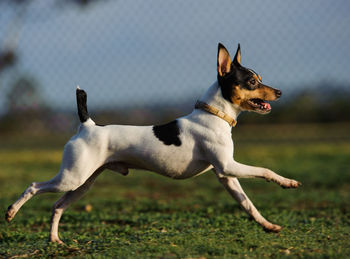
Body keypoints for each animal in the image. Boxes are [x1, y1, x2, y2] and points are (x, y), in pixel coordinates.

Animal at [5, 43, 300, 245]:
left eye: (259, 78)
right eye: (251, 81)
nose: (280, 92)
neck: (214, 115)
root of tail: (87, 125)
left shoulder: (225, 175)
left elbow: (247, 204)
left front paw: (267, 225)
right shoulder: (229, 166)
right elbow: (265, 171)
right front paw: (287, 182)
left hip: (82, 183)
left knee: (57, 206)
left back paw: (55, 240)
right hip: (71, 177)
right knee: (34, 186)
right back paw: (11, 212)